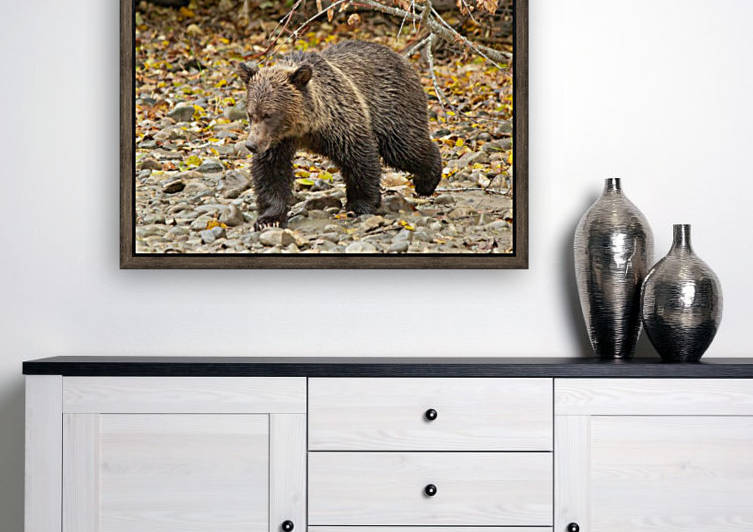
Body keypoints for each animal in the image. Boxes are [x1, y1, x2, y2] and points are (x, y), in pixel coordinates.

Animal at [237, 40, 443, 231]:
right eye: (251, 114)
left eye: (268, 114)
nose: (251, 145)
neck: (304, 128)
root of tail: (401, 58)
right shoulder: (278, 142)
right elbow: (271, 173)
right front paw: (269, 219)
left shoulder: (341, 122)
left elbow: (359, 159)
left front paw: (360, 204)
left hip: (392, 106)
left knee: (404, 147)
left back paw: (426, 182)